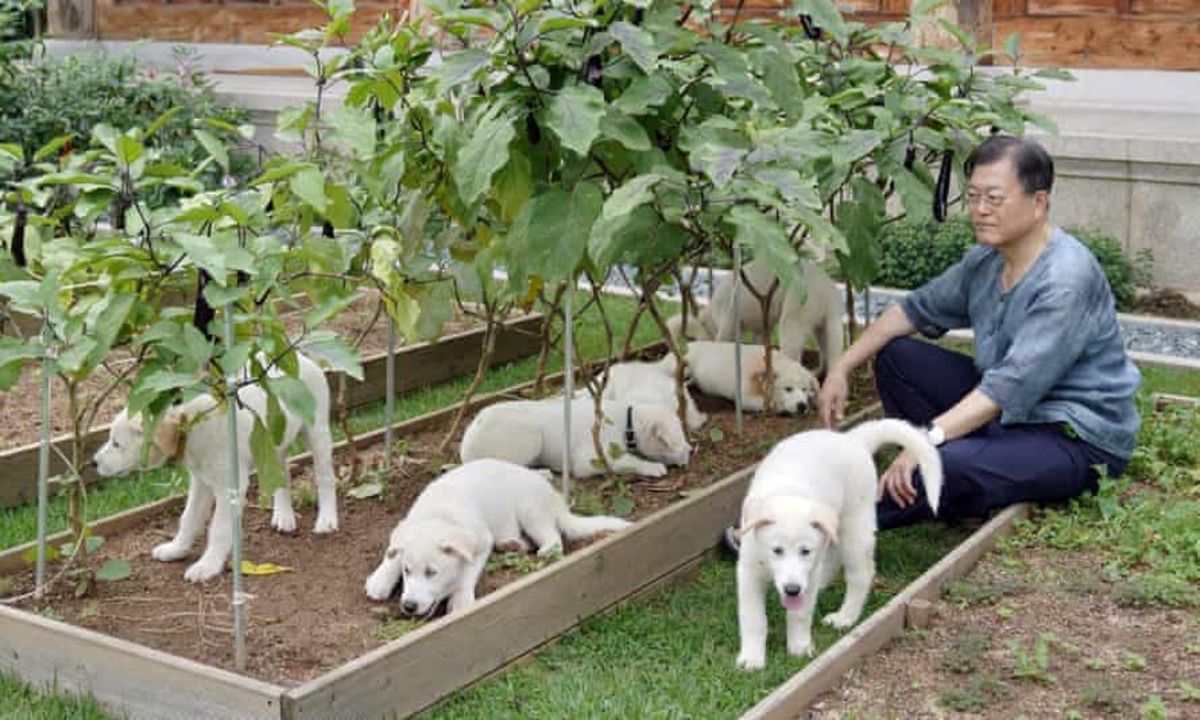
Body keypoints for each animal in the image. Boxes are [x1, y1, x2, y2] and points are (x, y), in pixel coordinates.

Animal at [90, 350, 338, 583]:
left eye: (116, 444)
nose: (93, 462)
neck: (190, 426)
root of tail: (299, 357)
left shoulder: (230, 487)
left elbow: (218, 529)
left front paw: (207, 566)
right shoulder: (200, 483)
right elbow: (188, 518)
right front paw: (176, 549)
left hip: (317, 431)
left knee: (325, 477)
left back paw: (326, 520)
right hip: (273, 442)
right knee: (282, 475)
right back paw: (284, 516)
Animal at [362, 458, 628, 614]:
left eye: (432, 573)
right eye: (407, 572)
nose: (408, 606)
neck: (440, 515)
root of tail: (554, 497)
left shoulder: (481, 542)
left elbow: (467, 573)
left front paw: (460, 600)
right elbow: (394, 553)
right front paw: (380, 579)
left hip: (530, 510)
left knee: (553, 537)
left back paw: (542, 550)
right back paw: (512, 544)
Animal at [667, 260, 844, 376]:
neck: (710, 317)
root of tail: (827, 292)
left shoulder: (729, 321)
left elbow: (722, 342)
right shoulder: (762, 326)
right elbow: (759, 343)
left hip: (793, 317)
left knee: (792, 353)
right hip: (827, 325)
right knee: (828, 352)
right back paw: (818, 372)